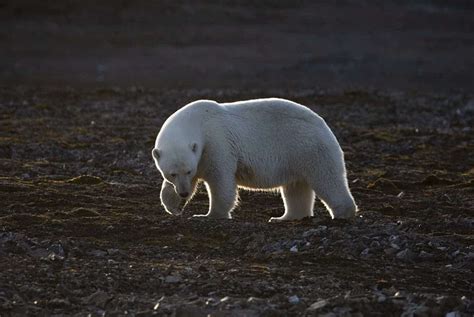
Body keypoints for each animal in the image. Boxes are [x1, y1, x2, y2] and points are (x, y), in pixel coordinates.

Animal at [152, 97, 356, 221]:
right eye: (172, 173)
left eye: (188, 170)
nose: (183, 193)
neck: (197, 121)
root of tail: (324, 126)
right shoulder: (198, 156)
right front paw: (174, 206)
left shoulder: (216, 144)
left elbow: (220, 181)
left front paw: (209, 215)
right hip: (297, 156)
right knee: (296, 187)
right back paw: (283, 217)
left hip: (309, 148)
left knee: (327, 179)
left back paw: (342, 213)